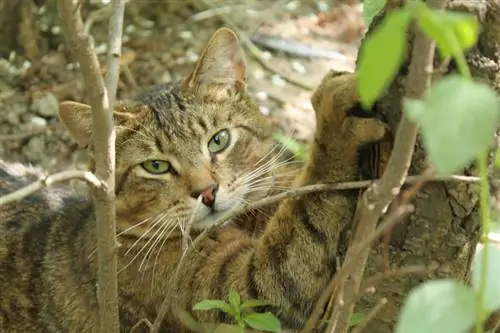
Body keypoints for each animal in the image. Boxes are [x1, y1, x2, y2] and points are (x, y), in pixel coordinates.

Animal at [0, 27, 386, 330]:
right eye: (156, 166)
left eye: (219, 140)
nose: (208, 191)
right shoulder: (246, 296)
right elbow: (303, 225)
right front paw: (335, 122)